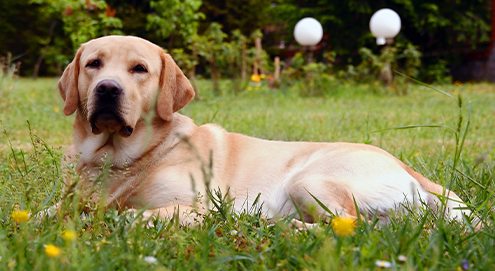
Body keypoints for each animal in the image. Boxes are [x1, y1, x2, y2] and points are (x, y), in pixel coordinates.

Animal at [57, 36, 468, 227]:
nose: (108, 89)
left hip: (309, 181)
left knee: (352, 227)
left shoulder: (198, 207)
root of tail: (406, 167)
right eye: (94, 64)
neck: (121, 158)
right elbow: (53, 211)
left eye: (139, 69)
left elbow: (128, 215)